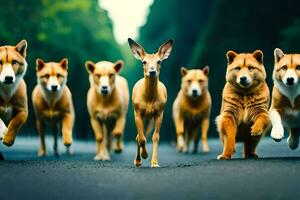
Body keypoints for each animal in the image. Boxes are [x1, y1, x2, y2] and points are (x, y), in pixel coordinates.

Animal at [127, 37, 173, 167]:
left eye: (159, 61)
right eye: (144, 62)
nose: (152, 71)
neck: (149, 99)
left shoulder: (159, 113)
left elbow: (155, 137)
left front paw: (154, 162)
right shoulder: (137, 113)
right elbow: (141, 138)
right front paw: (144, 155)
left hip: (149, 120)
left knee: (145, 135)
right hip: (143, 117)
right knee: (139, 136)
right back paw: (137, 161)